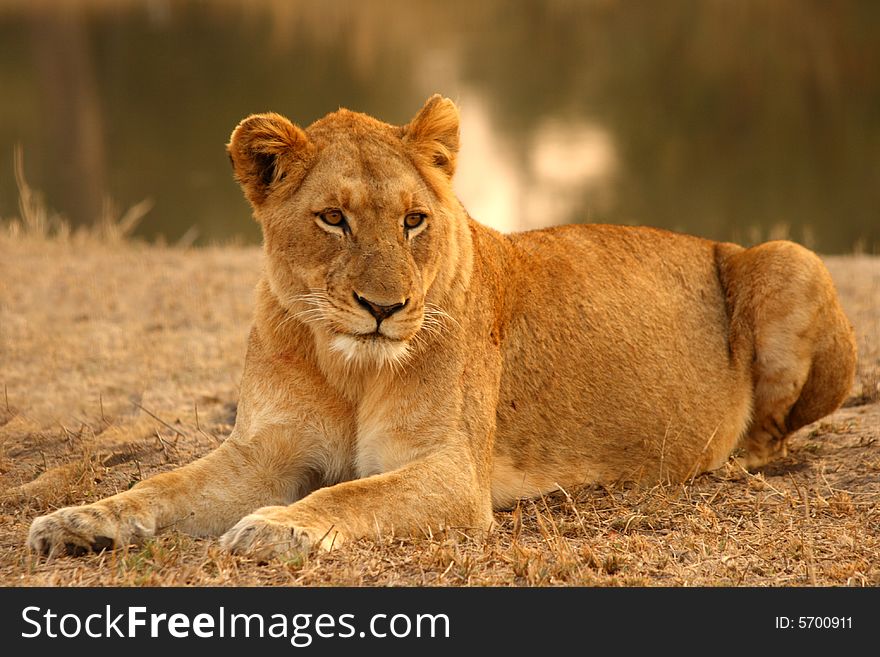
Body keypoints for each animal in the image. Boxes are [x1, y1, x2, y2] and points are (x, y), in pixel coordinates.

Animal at [25, 96, 852, 560]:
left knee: (772, 432)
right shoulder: (262, 451)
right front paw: (77, 520)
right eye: (333, 218)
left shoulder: (452, 470)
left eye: (413, 220)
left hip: (789, 256)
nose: (384, 308)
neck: (347, 363)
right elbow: (158, 485)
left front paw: (275, 529)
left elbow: (347, 497)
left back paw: (732, 460)